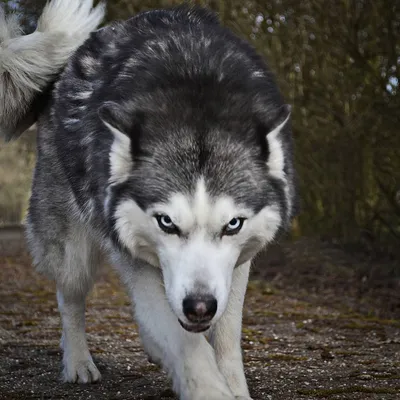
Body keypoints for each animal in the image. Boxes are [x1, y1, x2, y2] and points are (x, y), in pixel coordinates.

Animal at [0, 1, 296, 398]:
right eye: (166, 222)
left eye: (232, 224)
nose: (199, 307)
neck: (195, 92)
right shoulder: (135, 258)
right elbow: (186, 344)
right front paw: (207, 385)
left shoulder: (235, 266)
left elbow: (225, 338)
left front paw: (234, 387)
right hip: (72, 250)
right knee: (70, 298)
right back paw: (78, 363)